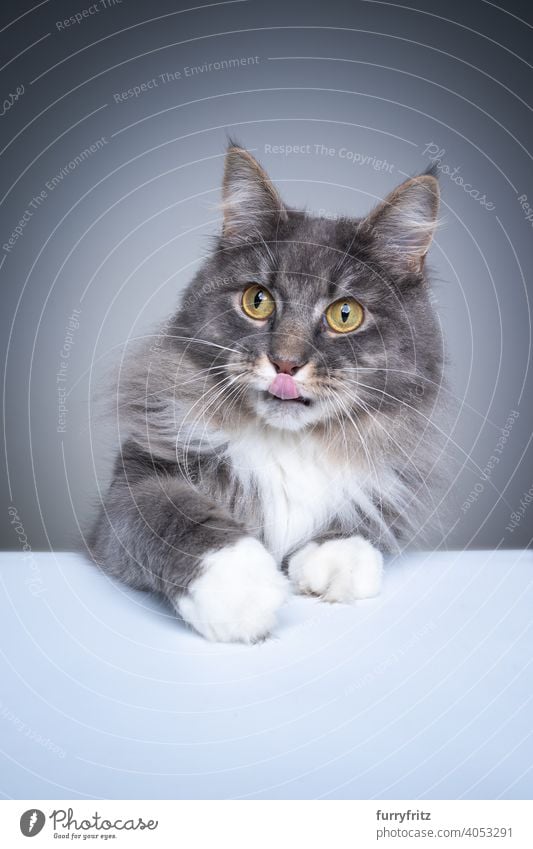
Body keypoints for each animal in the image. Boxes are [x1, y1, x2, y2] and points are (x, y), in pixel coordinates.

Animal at [88, 141, 444, 644]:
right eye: (257, 301)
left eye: (345, 314)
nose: (286, 363)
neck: (288, 444)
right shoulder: (133, 489)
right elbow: (177, 517)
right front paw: (239, 588)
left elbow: (359, 522)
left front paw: (336, 559)